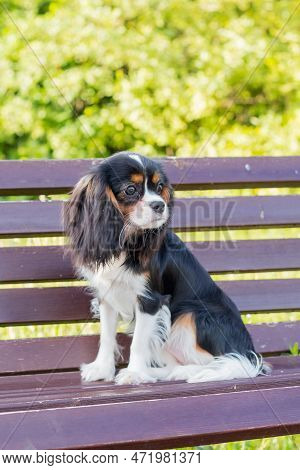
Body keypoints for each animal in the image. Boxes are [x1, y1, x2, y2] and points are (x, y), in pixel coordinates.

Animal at [63, 152, 270, 384]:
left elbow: (138, 344)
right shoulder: (107, 297)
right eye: (130, 190)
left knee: (221, 361)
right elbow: (106, 337)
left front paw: (134, 374)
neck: (127, 240)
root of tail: (249, 354)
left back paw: (184, 372)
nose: (160, 205)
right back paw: (157, 373)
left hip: (190, 317)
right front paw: (103, 370)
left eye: (159, 186)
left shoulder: (151, 300)